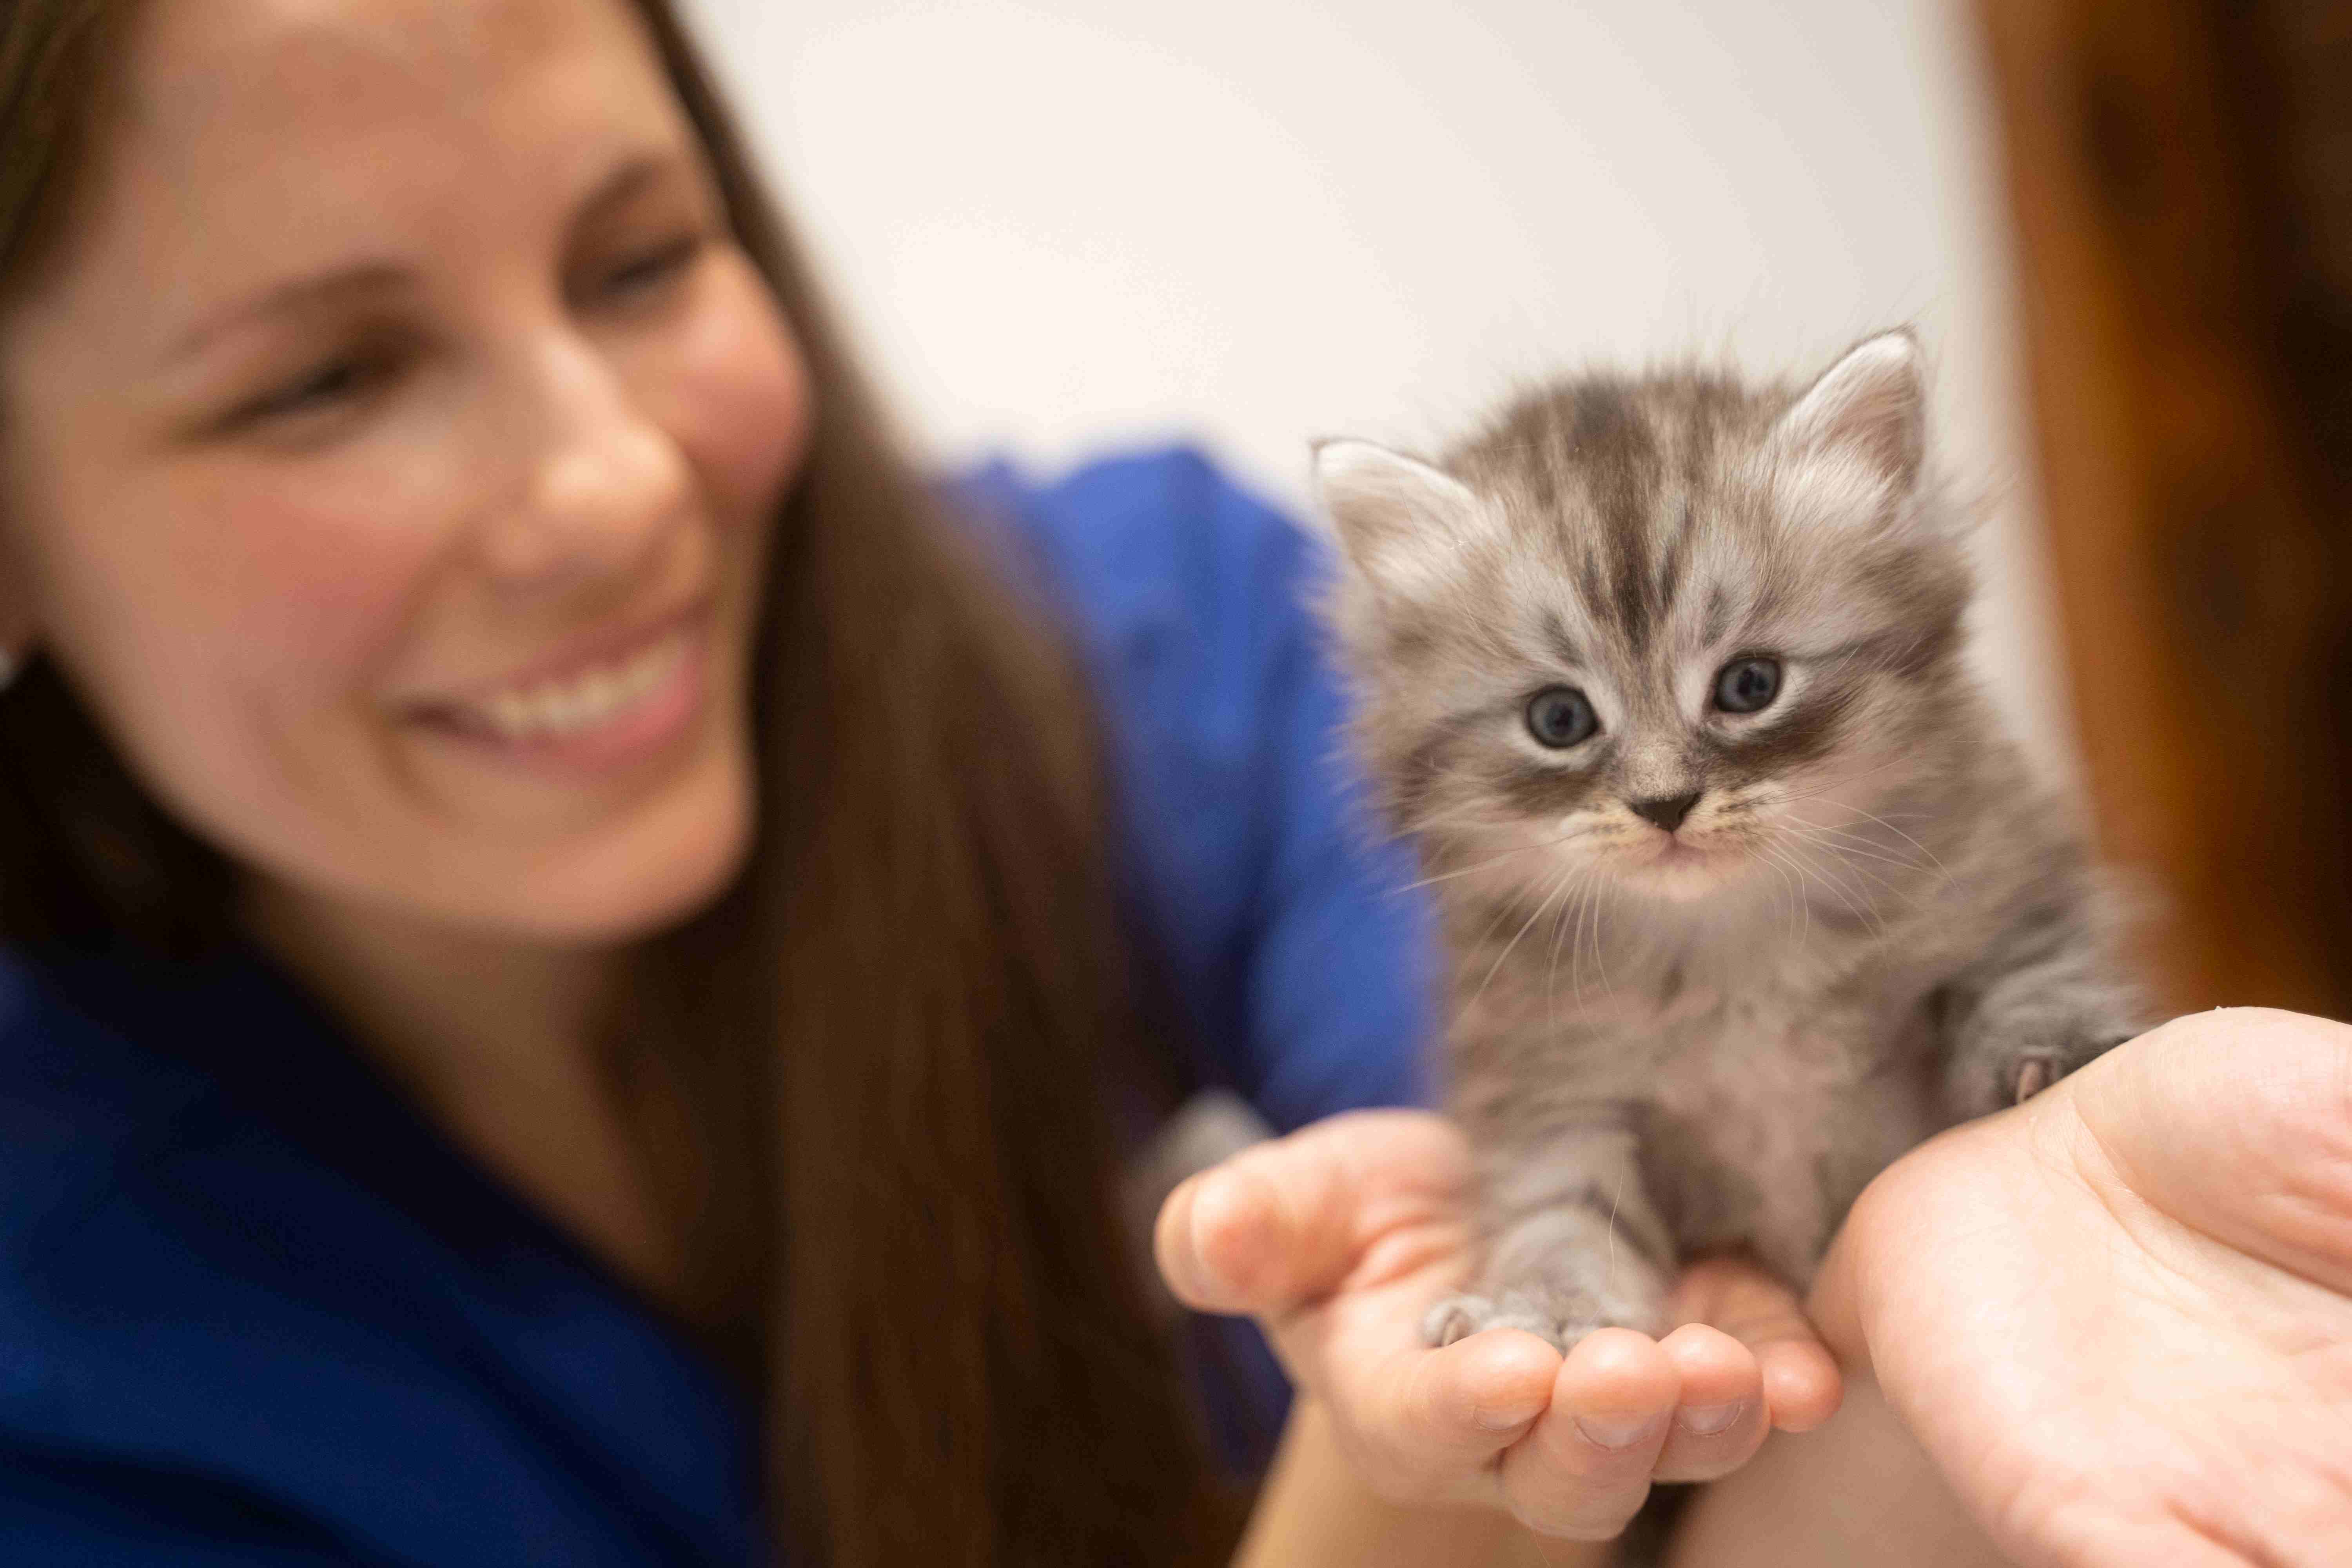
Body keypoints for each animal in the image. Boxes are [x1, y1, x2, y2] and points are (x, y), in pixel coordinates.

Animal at [1308, 334, 2154, 1354]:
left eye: (1751, 685)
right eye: (1559, 719)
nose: (1664, 802)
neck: (1724, 941)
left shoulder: (2011, 878)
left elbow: (2027, 969)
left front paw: (2052, 1044)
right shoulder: (1549, 1078)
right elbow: (1562, 1204)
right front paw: (1545, 1306)